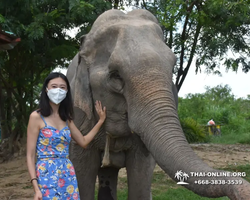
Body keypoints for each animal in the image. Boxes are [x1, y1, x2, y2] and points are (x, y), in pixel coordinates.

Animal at [66, 8, 250, 199]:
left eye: (173, 68)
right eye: (115, 76)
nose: (244, 191)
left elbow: (142, 171)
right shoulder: (79, 117)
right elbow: (82, 169)